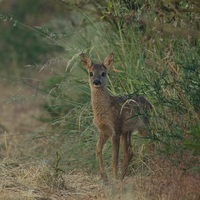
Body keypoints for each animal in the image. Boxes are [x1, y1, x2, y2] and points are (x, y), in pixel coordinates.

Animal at [79, 52, 152, 180]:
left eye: (103, 73)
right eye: (90, 73)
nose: (96, 82)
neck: (104, 110)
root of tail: (149, 103)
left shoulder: (115, 129)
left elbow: (114, 158)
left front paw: (113, 177)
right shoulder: (104, 130)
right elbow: (98, 148)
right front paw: (104, 176)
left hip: (143, 124)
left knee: (150, 143)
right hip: (128, 131)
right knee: (130, 151)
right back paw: (122, 177)